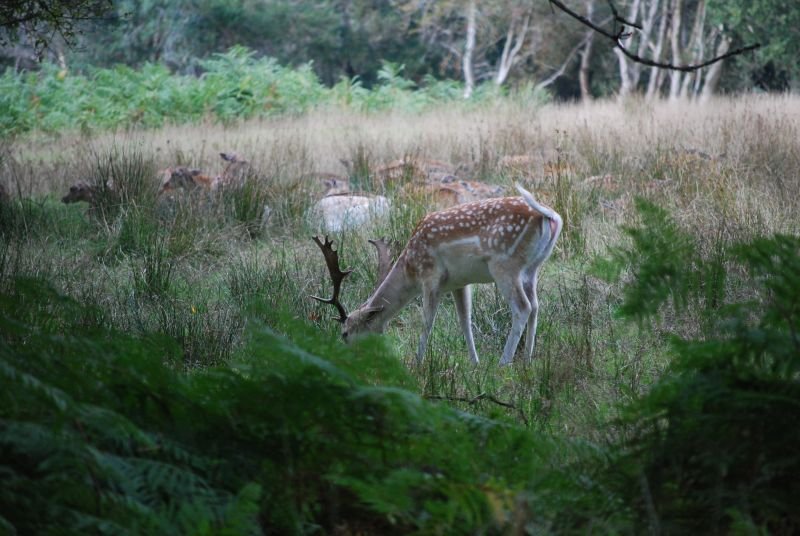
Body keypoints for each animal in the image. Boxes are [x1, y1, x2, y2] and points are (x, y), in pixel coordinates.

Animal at [311, 184, 562, 366]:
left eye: (344, 333)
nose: (344, 357)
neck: (410, 267)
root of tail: (551, 217)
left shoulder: (430, 276)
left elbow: (427, 321)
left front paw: (419, 362)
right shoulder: (460, 283)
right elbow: (465, 320)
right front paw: (475, 363)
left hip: (505, 265)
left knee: (522, 307)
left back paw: (504, 362)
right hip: (532, 268)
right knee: (535, 306)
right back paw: (527, 361)